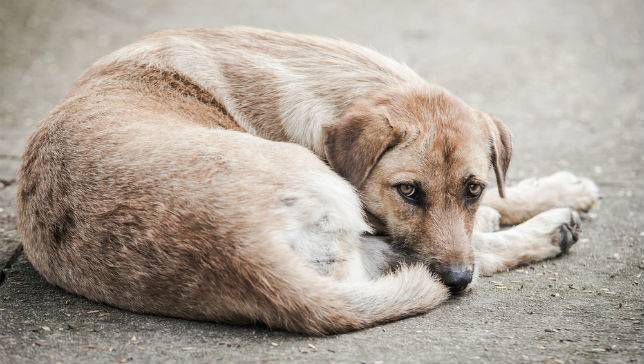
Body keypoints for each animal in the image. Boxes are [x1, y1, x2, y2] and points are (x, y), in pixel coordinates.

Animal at [15, 27, 600, 336]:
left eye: (472, 188)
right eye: (409, 191)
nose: (455, 279)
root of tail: (243, 253)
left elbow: (503, 193)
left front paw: (555, 189)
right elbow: (469, 241)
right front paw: (535, 211)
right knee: (457, 259)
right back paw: (546, 232)